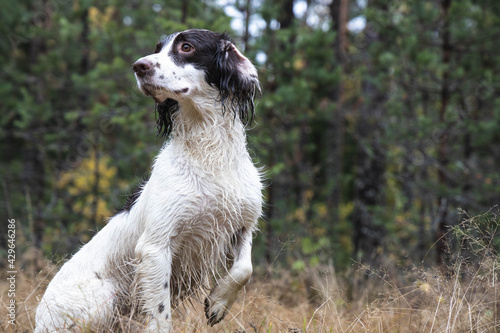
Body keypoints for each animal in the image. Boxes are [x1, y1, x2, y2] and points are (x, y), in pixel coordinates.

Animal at [34, 29, 262, 330]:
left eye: (186, 47)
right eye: (157, 48)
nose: (139, 66)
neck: (210, 154)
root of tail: (38, 319)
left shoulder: (243, 224)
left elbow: (245, 268)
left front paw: (218, 302)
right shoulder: (156, 247)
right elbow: (161, 314)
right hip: (104, 296)